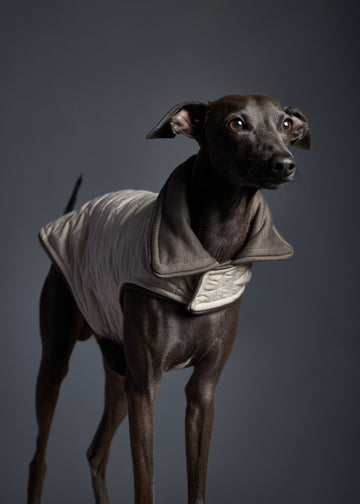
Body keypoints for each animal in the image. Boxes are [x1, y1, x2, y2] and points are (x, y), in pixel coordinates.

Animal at [27, 95, 310, 504]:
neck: (212, 255)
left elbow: (197, 486)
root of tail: (73, 214)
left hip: (119, 371)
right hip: (57, 361)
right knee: (40, 459)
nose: (284, 164)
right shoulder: (146, 388)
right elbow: (145, 486)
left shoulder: (202, 391)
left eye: (286, 124)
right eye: (237, 123)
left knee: (96, 453)